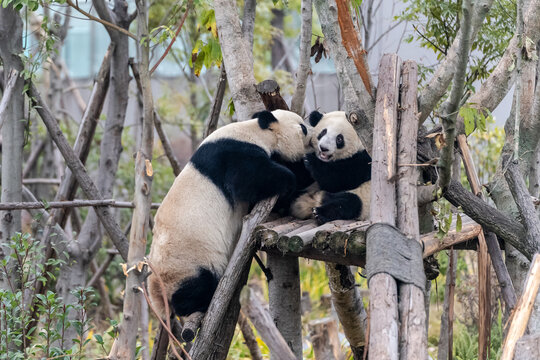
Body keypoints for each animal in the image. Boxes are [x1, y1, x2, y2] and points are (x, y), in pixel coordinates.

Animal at [149, 109, 312, 320]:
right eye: (303, 127)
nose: (314, 136)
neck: (254, 130)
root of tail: (156, 290)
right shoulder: (233, 155)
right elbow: (249, 180)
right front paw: (290, 178)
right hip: (186, 262)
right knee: (195, 286)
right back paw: (201, 303)